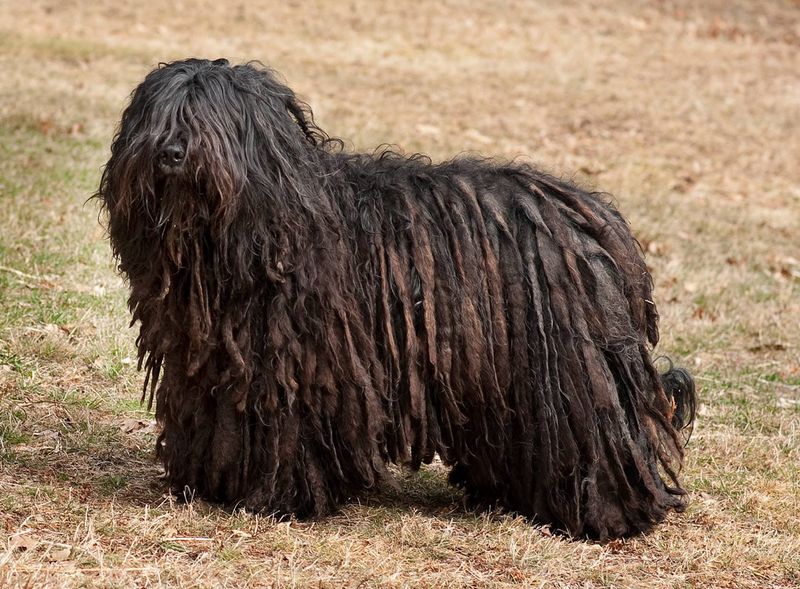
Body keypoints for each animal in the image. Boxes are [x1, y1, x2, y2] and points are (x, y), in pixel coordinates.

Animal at [95, 58, 692, 536]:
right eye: (157, 118)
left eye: (208, 118)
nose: (171, 153)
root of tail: (598, 221)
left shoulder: (299, 367)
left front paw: (280, 498)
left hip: (568, 370)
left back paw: (610, 514)